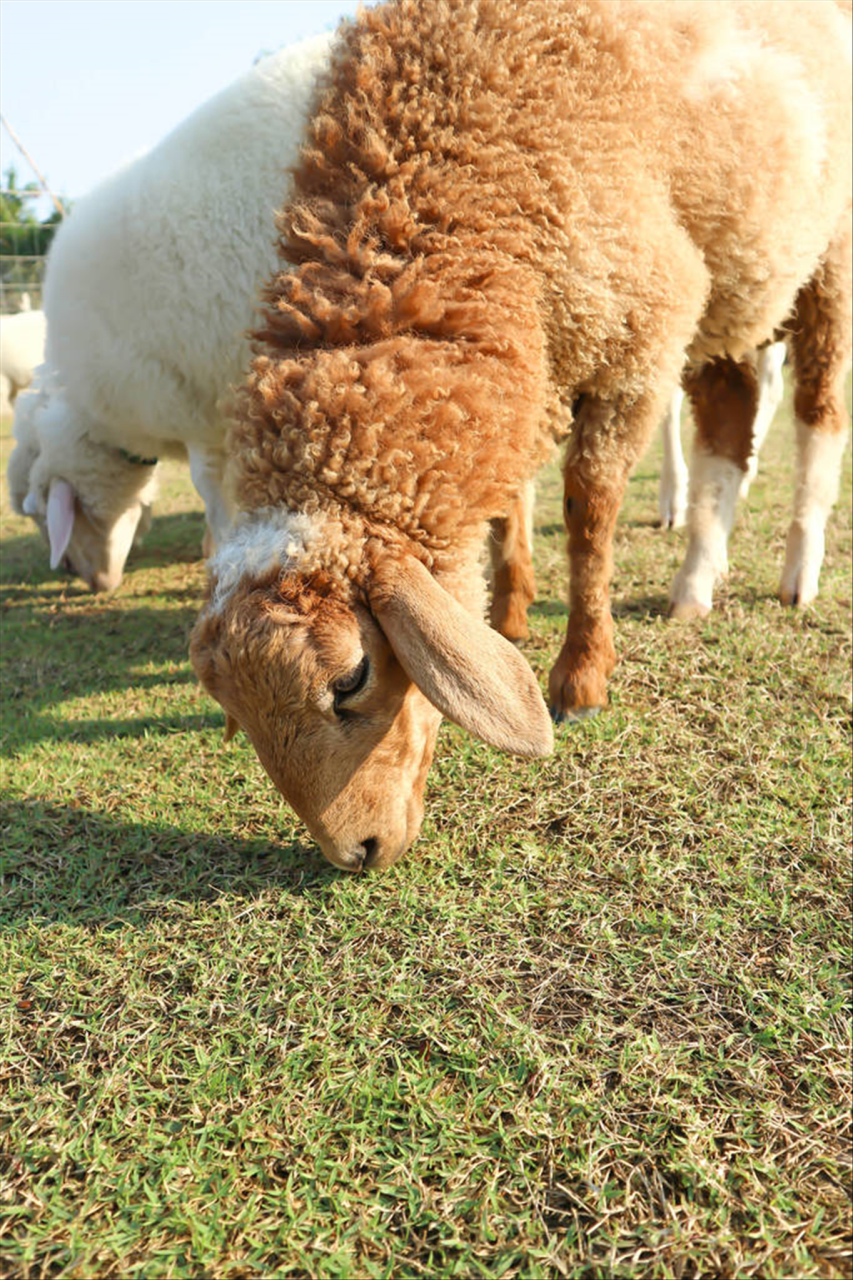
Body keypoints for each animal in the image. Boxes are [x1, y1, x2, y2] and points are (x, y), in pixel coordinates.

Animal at [192, 0, 850, 870]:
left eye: (351, 679)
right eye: (235, 709)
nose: (357, 851)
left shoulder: (640, 338)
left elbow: (588, 509)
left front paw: (581, 674)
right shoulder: (533, 351)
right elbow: (509, 501)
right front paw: (506, 610)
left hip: (823, 256)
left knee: (816, 412)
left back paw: (796, 570)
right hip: (736, 280)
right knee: (728, 422)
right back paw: (694, 582)